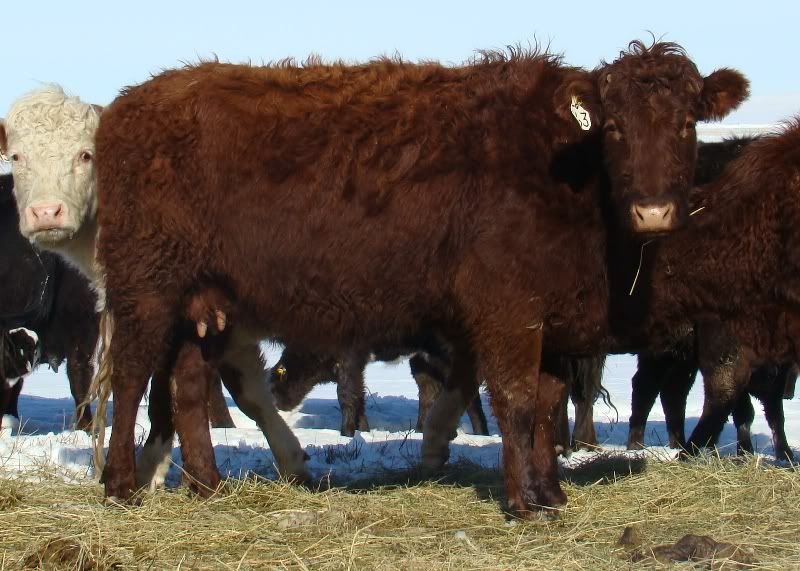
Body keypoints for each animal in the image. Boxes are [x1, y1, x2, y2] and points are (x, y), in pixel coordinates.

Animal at [90, 40, 747, 516]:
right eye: (614, 129)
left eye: (688, 125)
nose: (653, 211)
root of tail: (131, 102)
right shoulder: (506, 309)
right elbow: (515, 401)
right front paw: (524, 502)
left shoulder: (552, 318)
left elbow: (547, 402)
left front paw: (552, 492)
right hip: (145, 286)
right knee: (129, 379)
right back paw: (119, 484)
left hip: (205, 302)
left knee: (187, 387)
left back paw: (209, 486)